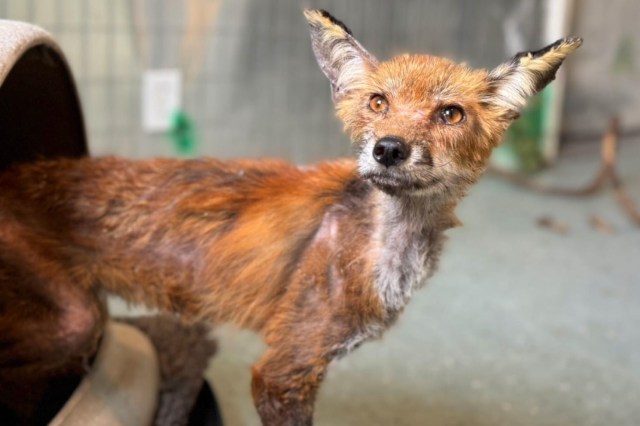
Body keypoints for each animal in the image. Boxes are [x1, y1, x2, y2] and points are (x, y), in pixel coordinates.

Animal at [0, 9, 581, 426]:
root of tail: (14, 172)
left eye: (450, 114)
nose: (389, 149)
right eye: (378, 103)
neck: (381, 247)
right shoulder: (284, 372)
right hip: (72, 325)